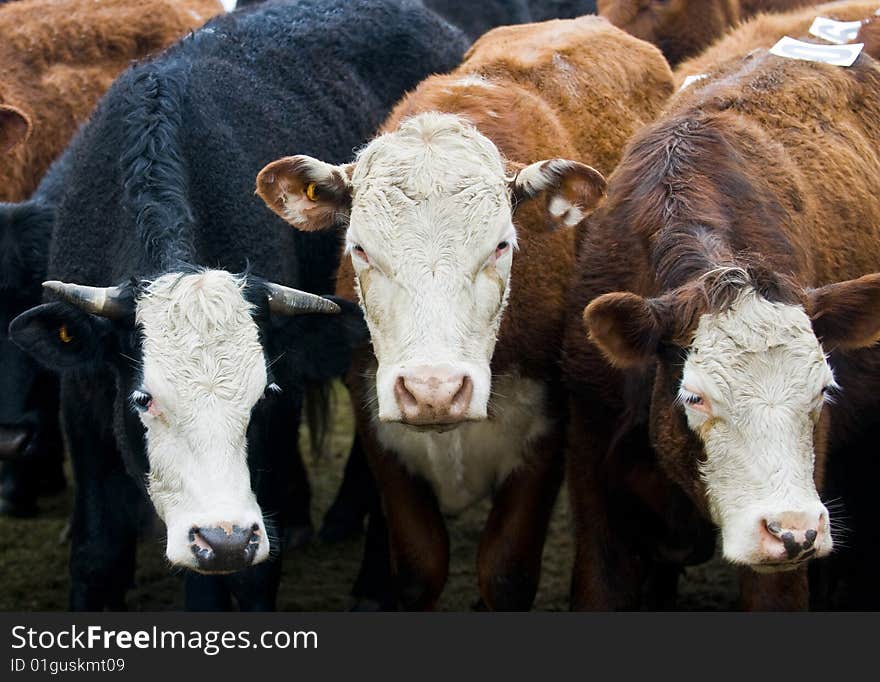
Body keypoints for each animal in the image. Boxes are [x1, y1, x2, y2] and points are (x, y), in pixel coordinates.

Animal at [6, 0, 470, 608]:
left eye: (263, 396)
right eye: (142, 399)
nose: (222, 538)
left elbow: (250, 577)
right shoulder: (83, 406)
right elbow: (97, 555)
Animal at [256, 15, 672, 608]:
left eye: (501, 245)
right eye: (359, 248)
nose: (434, 390)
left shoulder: (548, 436)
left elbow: (506, 572)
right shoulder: (380, 433)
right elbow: (418, 567)